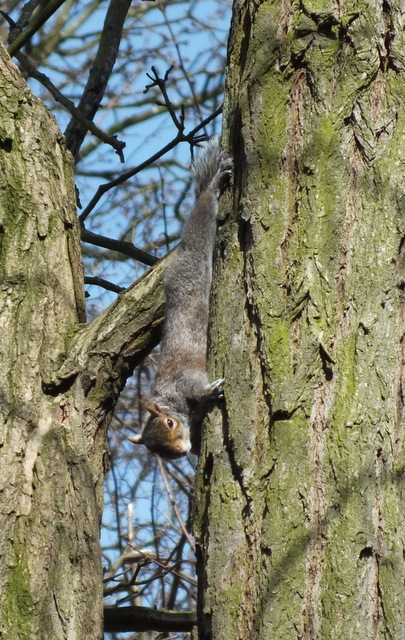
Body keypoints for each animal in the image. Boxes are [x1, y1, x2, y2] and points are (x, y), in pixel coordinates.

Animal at [128, 139, 232, 460]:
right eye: (157, 450)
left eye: (170, 423)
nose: (181, 451)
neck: (169, 398)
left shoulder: (185, 382)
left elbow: (200, 389)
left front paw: (211, 390)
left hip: (195, 259)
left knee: (202, 217)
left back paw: (212, 186)